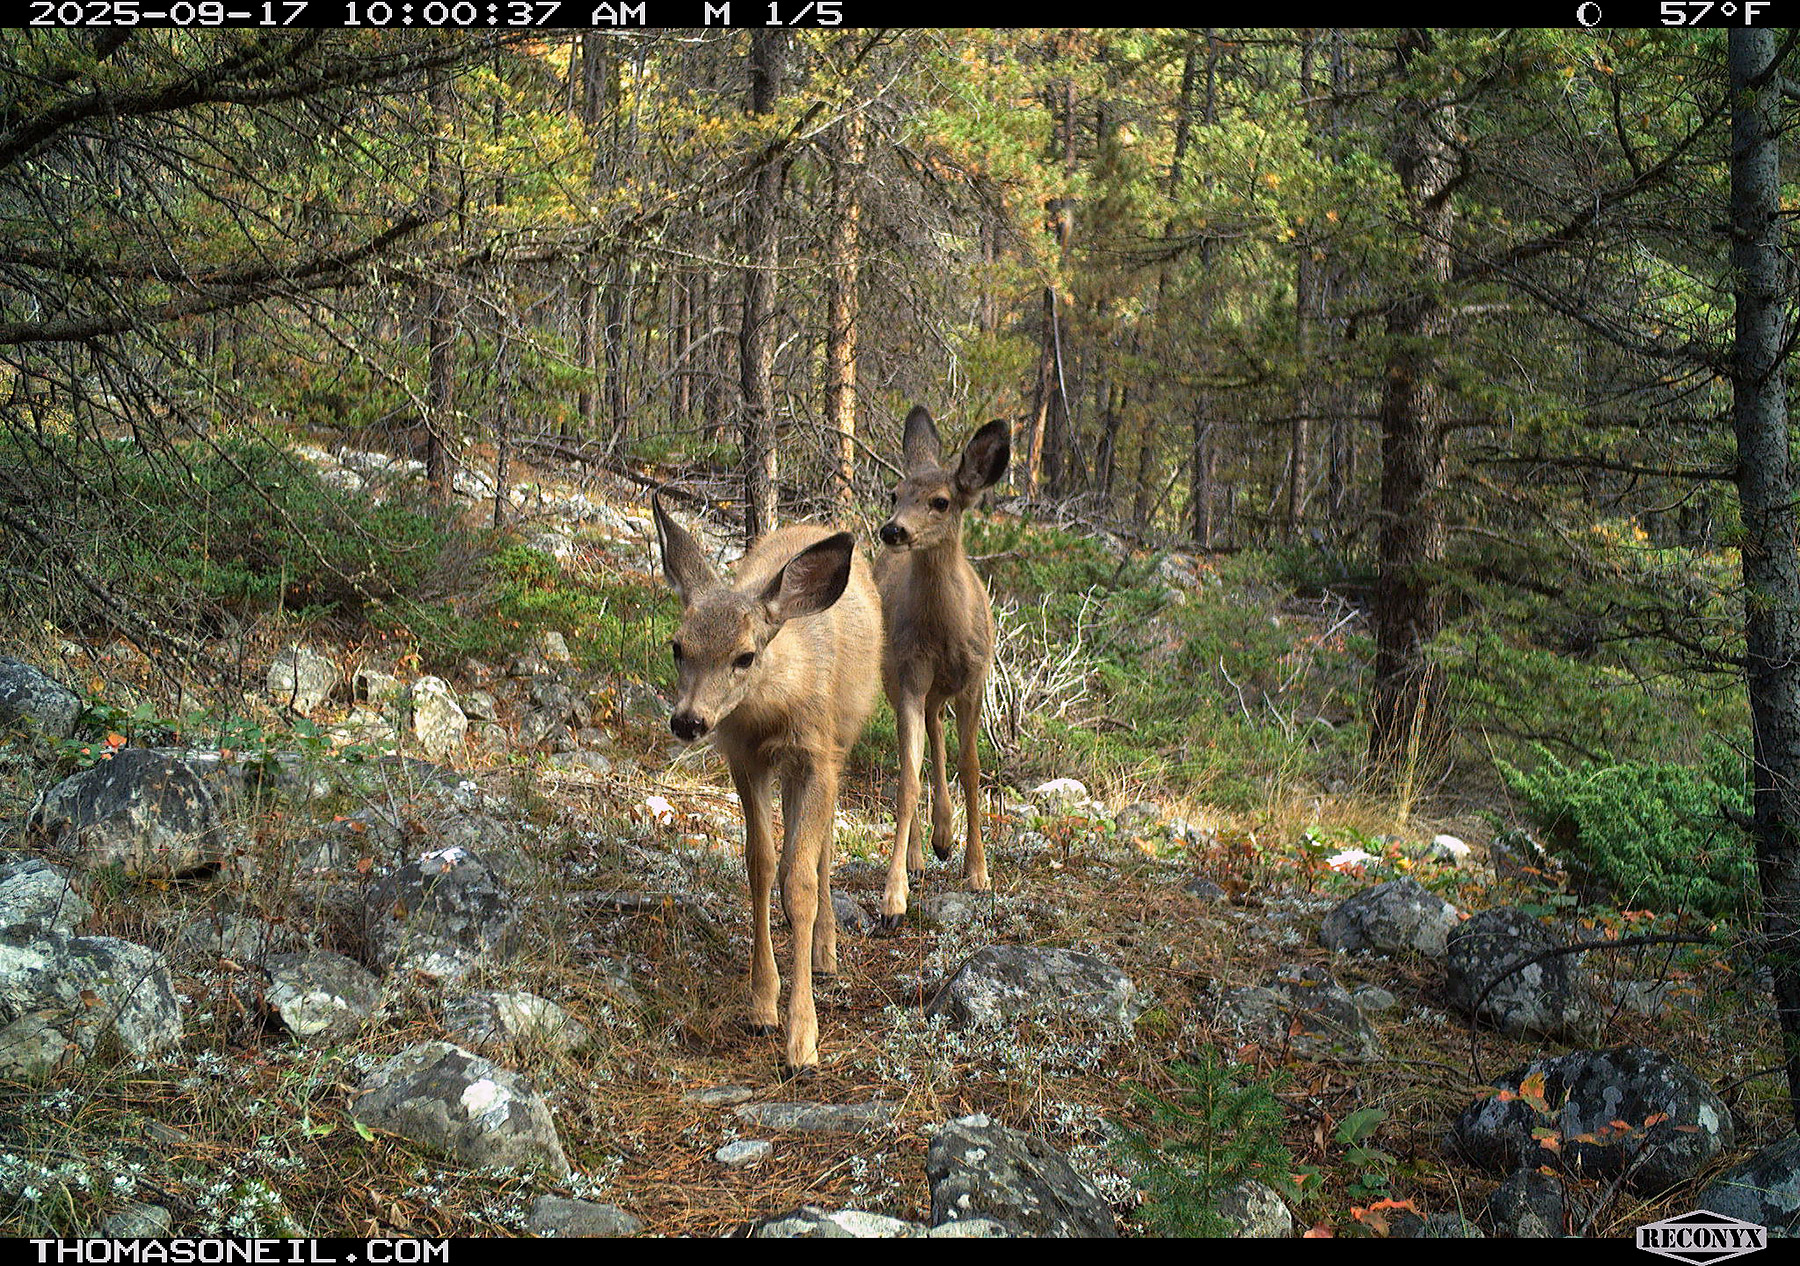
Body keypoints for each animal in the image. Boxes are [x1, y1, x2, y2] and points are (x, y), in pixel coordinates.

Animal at [651, 495, 882, 1073]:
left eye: (745, 656)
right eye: (677, 646)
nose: (688, 721)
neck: (775, 707)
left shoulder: (816, 756)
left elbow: (797, 881)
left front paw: (802, 1038)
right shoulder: (745, 759)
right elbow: (760, 866)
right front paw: (761, 1005)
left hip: (841, 744)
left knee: (823, 849)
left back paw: (825, 951)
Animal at [874, 406, 1010, 930]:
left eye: (941, 501)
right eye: (894, 493)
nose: (893, 530)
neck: (944, 631)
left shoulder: (975, 678)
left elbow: (972, 769)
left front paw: (979, 872)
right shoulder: (911, 674)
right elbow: (907, 778)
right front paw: (894, 898)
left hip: (941, 687)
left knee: (937, 730)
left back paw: (945, 836)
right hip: (897, 677)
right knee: (922, 742)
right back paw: (925, 847)